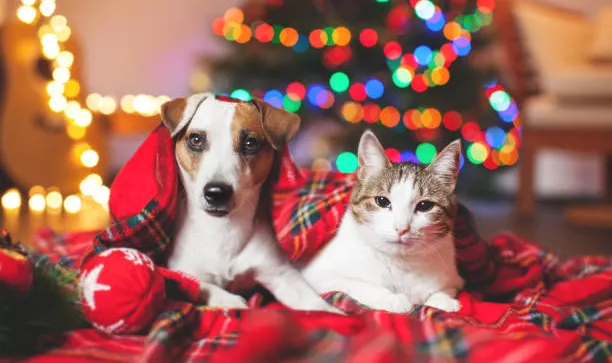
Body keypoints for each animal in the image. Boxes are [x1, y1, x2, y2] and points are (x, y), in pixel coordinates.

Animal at [158, 93, 340, 312]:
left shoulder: (281, 274)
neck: (222, 230)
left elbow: (317, 304)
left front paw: (336, 312)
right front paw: (229, 300)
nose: (217, 192)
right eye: (195, 139)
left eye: (250, 143)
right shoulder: (181, 271)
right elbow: (200, 284)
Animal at [302, 130, 464, 312]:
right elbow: (353, 284)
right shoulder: (316, 277)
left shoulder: (453, 279)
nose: (401, 228)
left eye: (424, 206)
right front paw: (394, 299)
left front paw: (441, 300)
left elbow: (444, 290)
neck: (400, 264)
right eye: (382, 201)